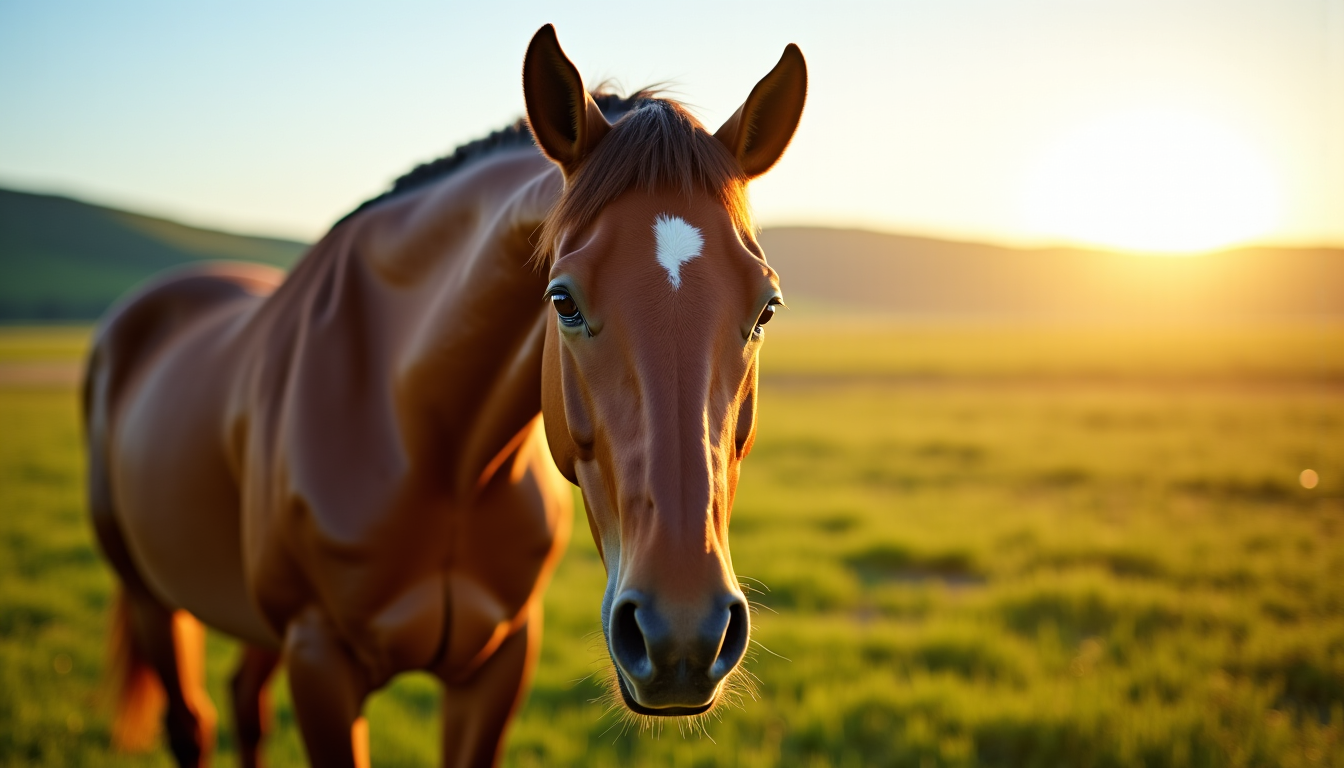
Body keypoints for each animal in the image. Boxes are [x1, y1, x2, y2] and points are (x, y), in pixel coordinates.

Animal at [83, 24, 806, 767]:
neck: (430, 444)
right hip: (149, 597)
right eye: (563, 301)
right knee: (191, 721)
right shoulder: (320, 659)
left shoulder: (499, 659)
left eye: (767, 308)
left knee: (244, 703)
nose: (682, 633)